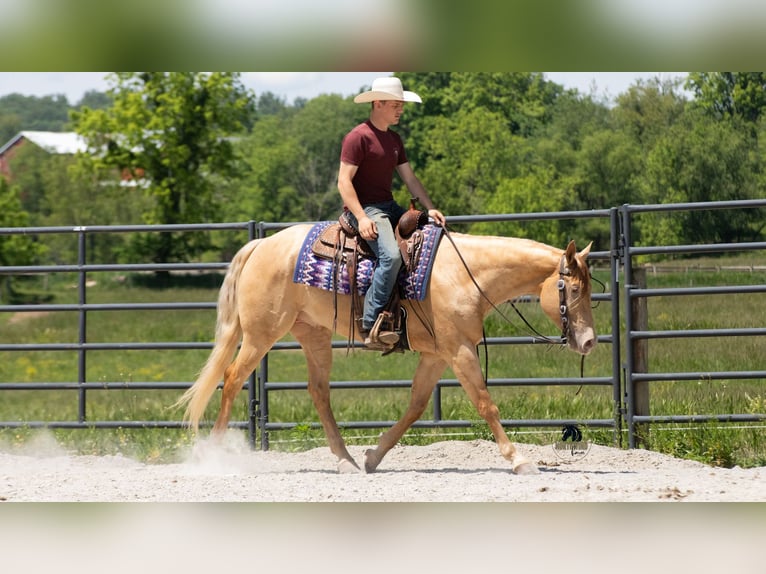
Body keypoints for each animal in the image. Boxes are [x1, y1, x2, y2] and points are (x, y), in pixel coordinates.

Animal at [175, 223, 596, 475]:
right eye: (574, 289)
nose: (590, 341)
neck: (464, 275)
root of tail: (261, 243)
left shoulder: (437, 354)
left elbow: (416, 406)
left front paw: (373, 456)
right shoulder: (459, 350)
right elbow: (484, 403)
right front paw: (519, 460)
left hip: (312, 335)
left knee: (318, 392)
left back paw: (346, 460)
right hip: (262, 333)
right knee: (231, 378)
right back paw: (213, 455)